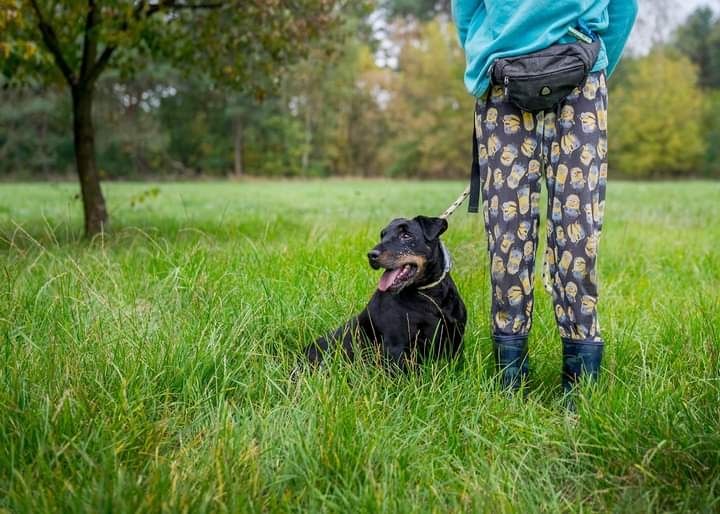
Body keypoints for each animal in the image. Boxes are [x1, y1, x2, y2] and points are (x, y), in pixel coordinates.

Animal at [298, 214, 466, 370]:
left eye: (406, 235)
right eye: (383, 235)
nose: (371, 255)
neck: (429, 294)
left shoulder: (455, 339)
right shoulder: (396, 346)